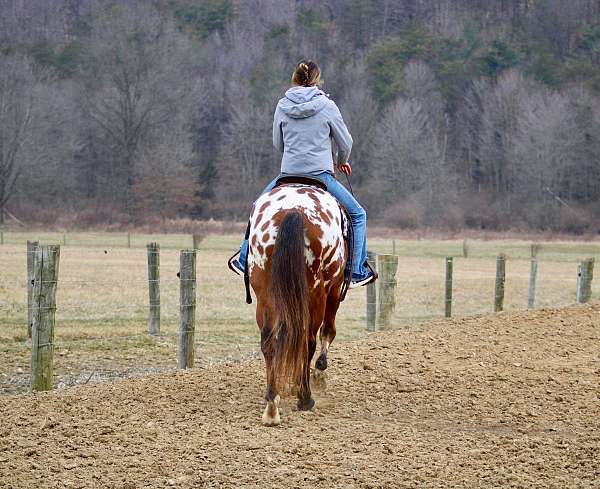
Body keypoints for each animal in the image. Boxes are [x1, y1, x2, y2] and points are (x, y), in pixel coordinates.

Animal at [246, 181, 346, 426]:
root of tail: (293, 210)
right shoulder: (334, 289)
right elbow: (328, 331)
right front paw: (319, 373)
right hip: (316, 294)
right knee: (308, 340)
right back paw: (305, 398)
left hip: (265, 294)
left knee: (269, 342)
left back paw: (272, 405)